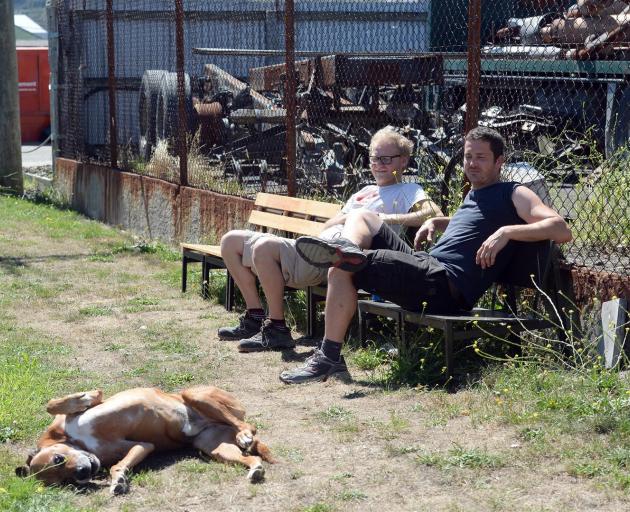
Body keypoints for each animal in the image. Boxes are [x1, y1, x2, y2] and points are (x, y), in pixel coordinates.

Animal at [15, 386, 274, 494]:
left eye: (58, 459)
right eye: (65, 482)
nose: (82, 473)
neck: (76, 441)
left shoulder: (94, 403)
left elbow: (53, 404)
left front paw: (82, 397)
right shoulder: (142, 446)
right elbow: (118, 465)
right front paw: (118, 480)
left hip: (194, 394)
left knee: (247, 426)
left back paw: (244, 434)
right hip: (213, 446)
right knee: (250, 456)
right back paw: (255, 469)